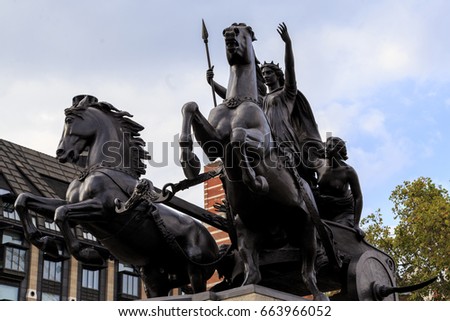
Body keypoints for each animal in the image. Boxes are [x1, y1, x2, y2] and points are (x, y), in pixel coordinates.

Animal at [16, 95, 221, 298]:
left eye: (69, 120)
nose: (61, 153)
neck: (101, 169)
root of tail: (212, 241)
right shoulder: (76, 211)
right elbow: (24, 200)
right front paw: (45, 242)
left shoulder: (102, 209)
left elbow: (61, 213)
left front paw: (89, 255)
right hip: (155, 278)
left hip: (196, 270)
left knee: (201, 291)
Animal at [178, 23, 326, 300]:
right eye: (227, 29)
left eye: (242, 30)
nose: (228, 35)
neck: (237, 102)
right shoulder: (214, 142)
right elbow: (189, 106)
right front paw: (189, 163)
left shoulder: (259, 142)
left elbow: (238, 138)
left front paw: (256, 181)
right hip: (247, 229)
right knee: (254, 273)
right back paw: (244, 285)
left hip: (306, 227)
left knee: (308, 270)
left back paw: (319, 292)